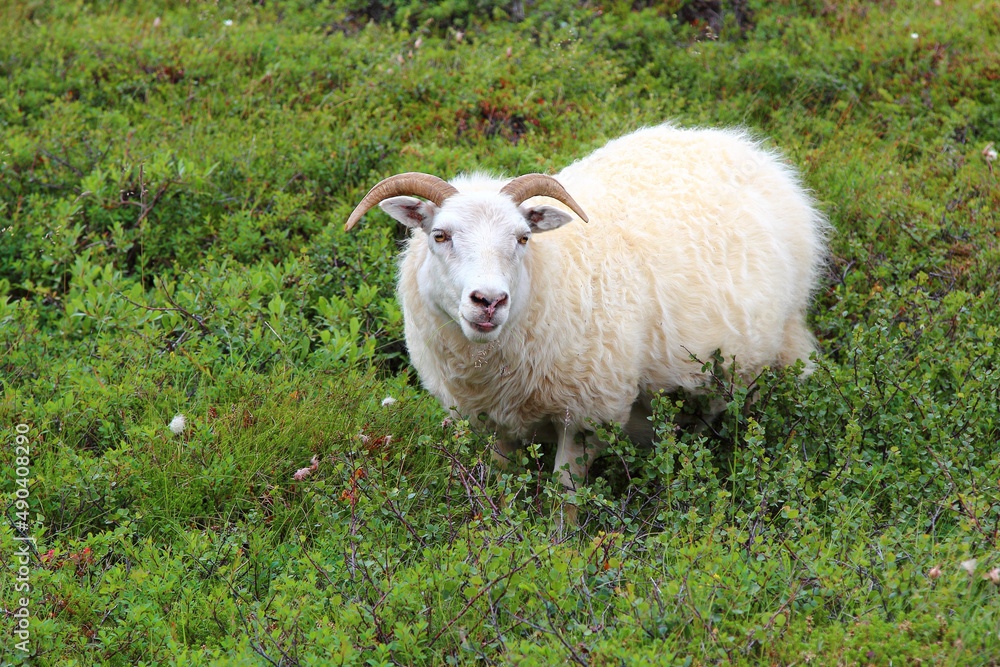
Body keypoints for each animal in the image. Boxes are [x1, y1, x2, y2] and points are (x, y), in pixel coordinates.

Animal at [345, 123, 828, 523]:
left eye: (523, 238)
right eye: (439, 235)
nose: (490, 301)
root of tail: (748, 149)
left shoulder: (590, 412)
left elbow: (565, 493)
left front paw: (562, 549)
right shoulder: (491, 419)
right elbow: (502, 479)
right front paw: (503, 526)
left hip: (769, 347)